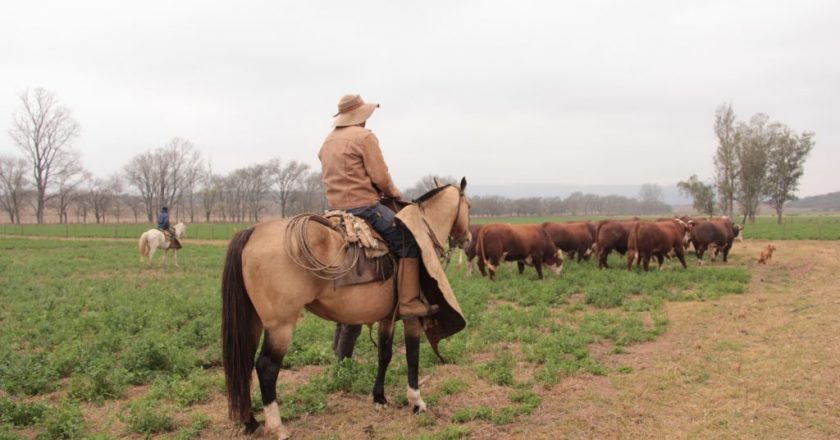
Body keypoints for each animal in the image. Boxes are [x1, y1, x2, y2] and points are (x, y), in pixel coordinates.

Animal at [220, 177, 470, 438]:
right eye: (469, 206)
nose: (468, 238)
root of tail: (252, 232)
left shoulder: (387, 317)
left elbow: (385, 354)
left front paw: (379, 397)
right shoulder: (413, 317)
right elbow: (412, 355)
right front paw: (416, 401)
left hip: (254, 321)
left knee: (243, 363)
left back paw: (250, 422)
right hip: (281, 326)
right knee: (266, 368)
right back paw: (278, 428)